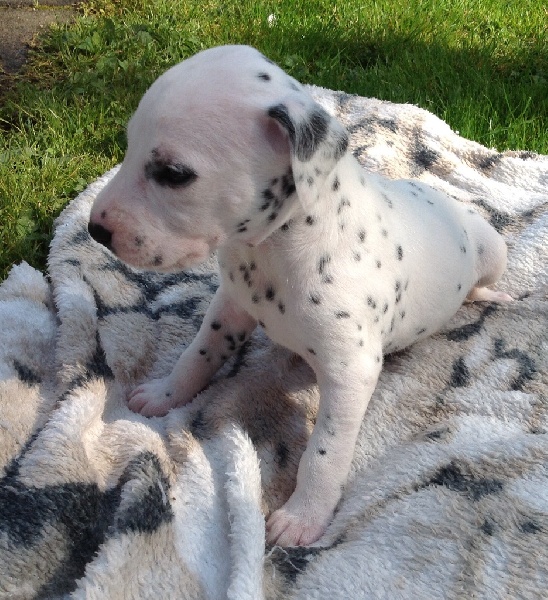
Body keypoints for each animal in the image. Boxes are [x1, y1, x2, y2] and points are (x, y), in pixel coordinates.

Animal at [88, 45, 512, 547]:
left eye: (174, 174)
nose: (95, 230)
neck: (279, 245)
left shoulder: (351, 372)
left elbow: (325, 450)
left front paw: (304, 515)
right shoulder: (231, 305)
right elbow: (199, 353)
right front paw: (164, 392)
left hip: (494, 249)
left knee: (482, 281)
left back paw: (488, 297)